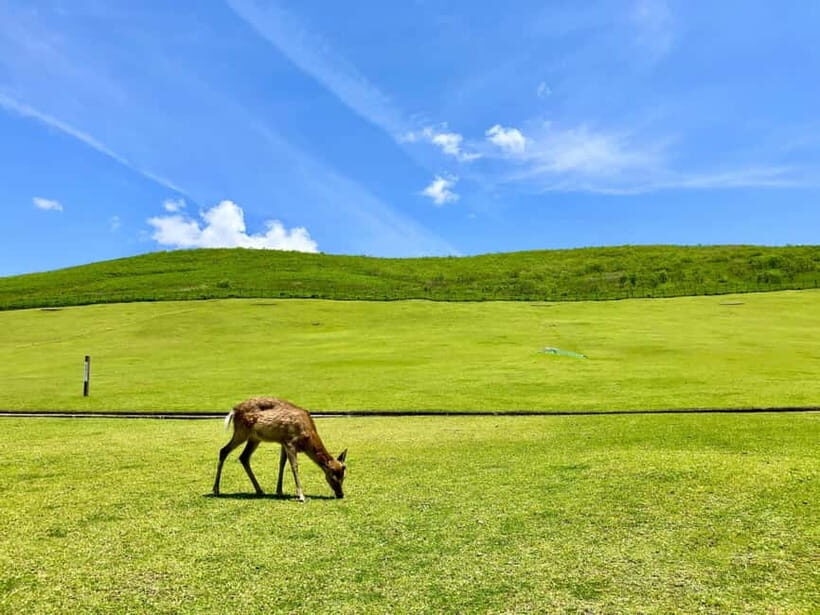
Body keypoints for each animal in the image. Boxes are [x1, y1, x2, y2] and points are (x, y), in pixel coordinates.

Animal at [212, 396, 348, 502]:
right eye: (332, 476)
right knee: (223, 450)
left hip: (254, 438)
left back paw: (259, 490)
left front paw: (279, 491)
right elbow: (294, 466)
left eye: (344, 476)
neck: (306, 438)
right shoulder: (290, 441)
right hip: (241, 432)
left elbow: (282, 463)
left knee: (243, 457)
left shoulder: (283, 443)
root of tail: (233, 410)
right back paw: (216, 489)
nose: (341, 494)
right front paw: (301, 496)